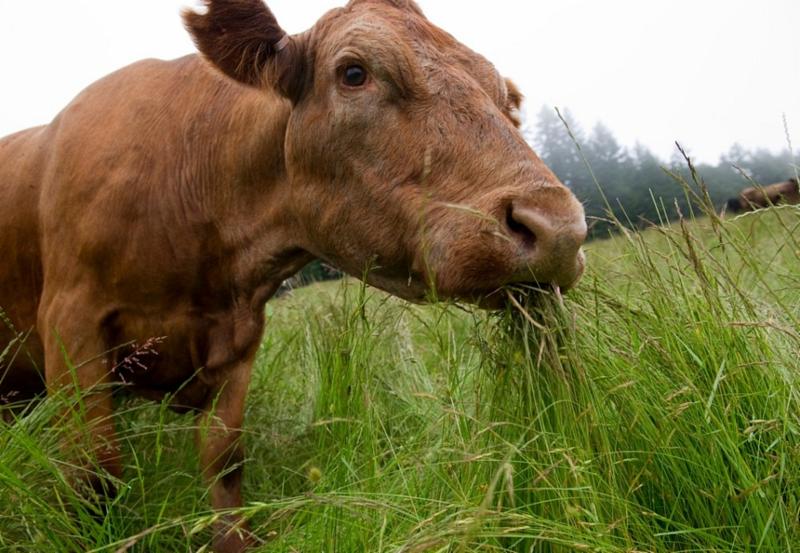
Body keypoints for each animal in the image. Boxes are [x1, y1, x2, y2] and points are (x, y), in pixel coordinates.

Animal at [0, 0, 587, 550]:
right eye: (354, 72)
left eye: (504, 97)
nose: (558, 230)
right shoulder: (71, 324)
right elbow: (95, 473)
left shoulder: (238, 341)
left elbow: (224, 460)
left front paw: (233, 541)